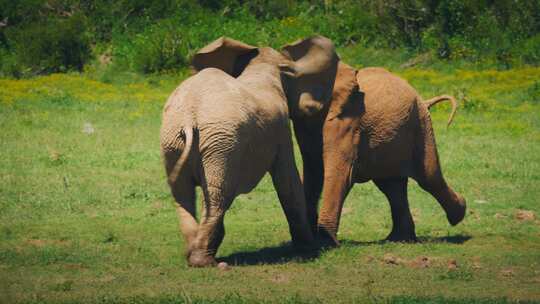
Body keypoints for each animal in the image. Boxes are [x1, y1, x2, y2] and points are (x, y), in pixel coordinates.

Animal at [159, 35, 342, 266]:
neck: (261, 68)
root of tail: (189, 118)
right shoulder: (281, 129)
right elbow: (287, 181)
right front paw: (309, 249)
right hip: (220, 143)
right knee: (218, 194)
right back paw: (208, 262)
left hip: (174, 140)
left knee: (183, 194)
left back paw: (194, 256)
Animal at [294, 64, 466, 247]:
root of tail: (423, 100)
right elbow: (313, 168)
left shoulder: (348, 119)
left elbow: (341, 173)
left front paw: (325, 242)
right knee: (391, 185)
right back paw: (398, 239)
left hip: (420, 125)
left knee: (428, 177)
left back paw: (459, 212)